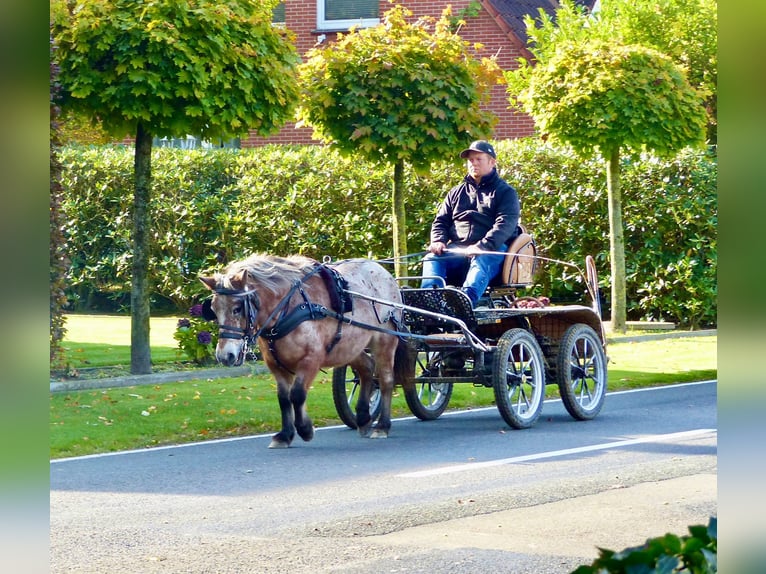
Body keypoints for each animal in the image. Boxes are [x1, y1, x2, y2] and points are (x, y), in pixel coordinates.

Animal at [198, 255, 414, 450]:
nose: (225, 356)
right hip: (349, 347)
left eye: (237, 308)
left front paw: (305, 429)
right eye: (213, 309)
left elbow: (297, 394)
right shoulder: (275, 365)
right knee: (367, 369)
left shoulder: (311, 359)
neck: (288, 309)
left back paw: (382, 426)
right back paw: (362, 418)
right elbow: (284, 399)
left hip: (384, 340)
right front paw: (285, 435)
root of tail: (384, 272)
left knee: (386, 380)